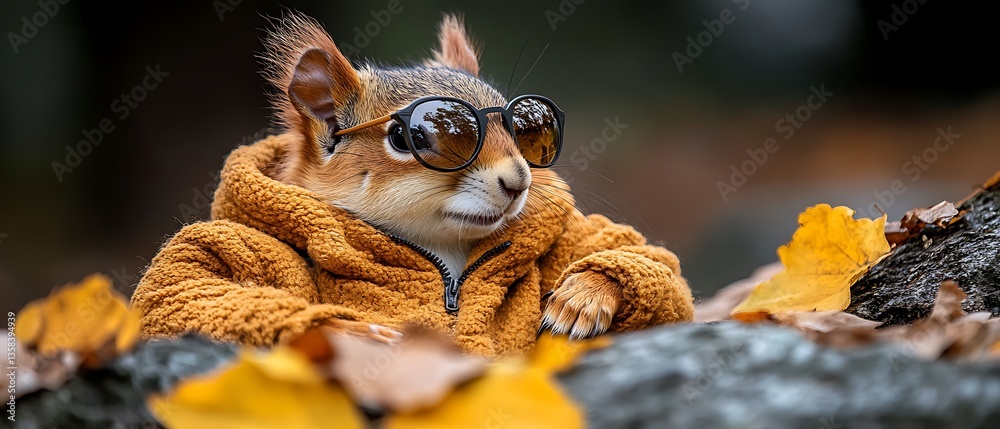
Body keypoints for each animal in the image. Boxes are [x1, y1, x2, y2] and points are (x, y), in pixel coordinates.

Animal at [131, 12, 693, 354]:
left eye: (527, 126)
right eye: (410, 137)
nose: (519, 181)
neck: (445, 252)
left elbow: (649, 261)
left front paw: (581, 298)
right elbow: (186, 287)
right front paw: (352, 331)